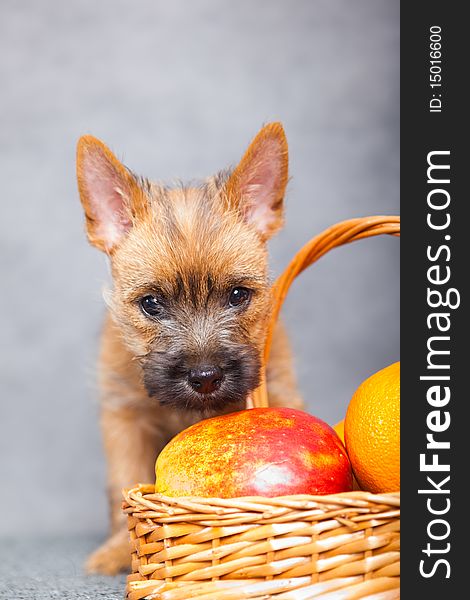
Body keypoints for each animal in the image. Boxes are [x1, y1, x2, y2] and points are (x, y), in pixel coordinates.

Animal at [76, 120, 302, 572]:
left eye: (238, 295)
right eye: (151, 303)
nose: (206, 376)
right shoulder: (124, 420)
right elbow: (125, 481)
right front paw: (117, 551)